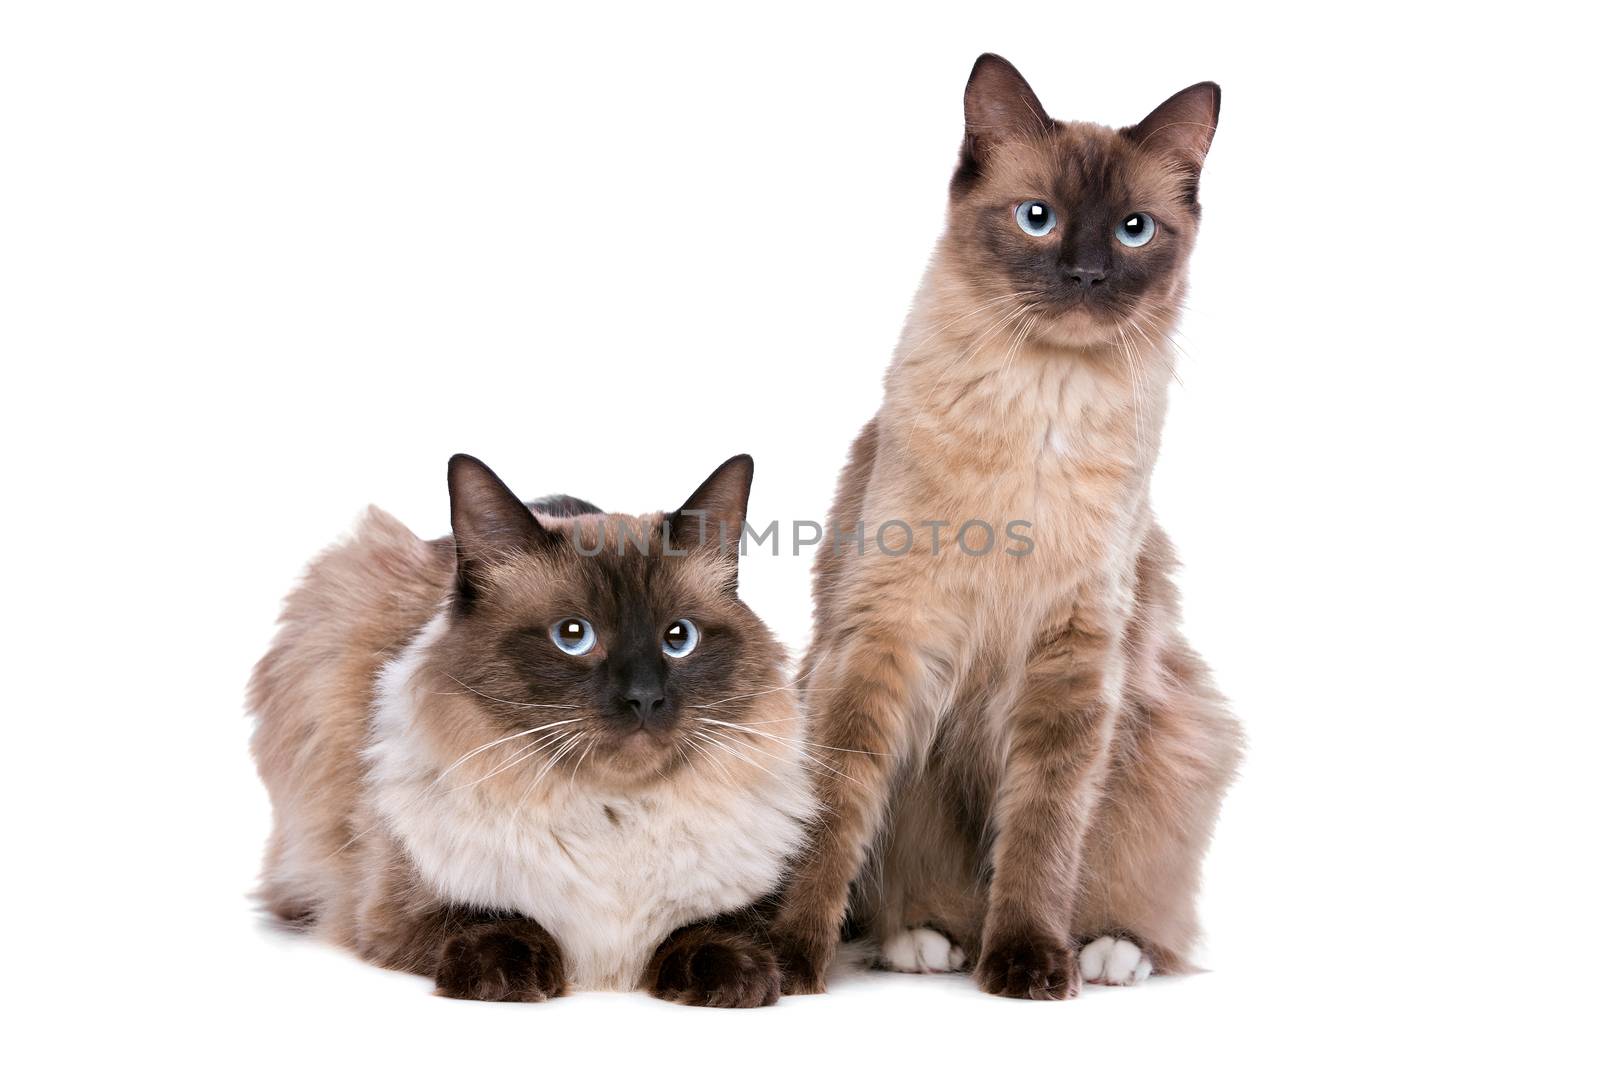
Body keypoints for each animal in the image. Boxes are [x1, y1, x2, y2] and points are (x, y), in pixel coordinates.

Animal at [248, 454, 812, 1004]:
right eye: (572, 635)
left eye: (679, 638)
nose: (644, 698)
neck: (615, 815)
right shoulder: (398, 912)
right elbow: (498, 920)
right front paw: (512, 978)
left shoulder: (742, 903)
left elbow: (712, 930)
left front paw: (735, 981)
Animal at [774, 54, 1248, 998]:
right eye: (1039, 219)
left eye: (1134, 231)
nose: (1088, 275)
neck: (1042, 406)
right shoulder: (884, 637)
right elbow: (831, 816)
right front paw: (783, 956)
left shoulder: (1071, 656)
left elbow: (1043, 830)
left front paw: (1029, 959)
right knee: (925, 891)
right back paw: (924, 942)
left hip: (1177, 741)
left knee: (1133, 902)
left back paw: (1106, 953)